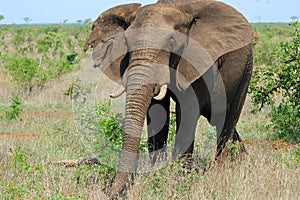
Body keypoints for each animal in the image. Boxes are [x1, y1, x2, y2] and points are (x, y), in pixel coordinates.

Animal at [84, 0, 253, 198]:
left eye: (172, 42)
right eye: (126, 42)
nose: (109, 193)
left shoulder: (198, 61)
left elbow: (187, 111)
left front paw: (180, 181)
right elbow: (156, 111)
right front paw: (155, 175)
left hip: (246, 67)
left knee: (228, 119)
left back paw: (221, 172)